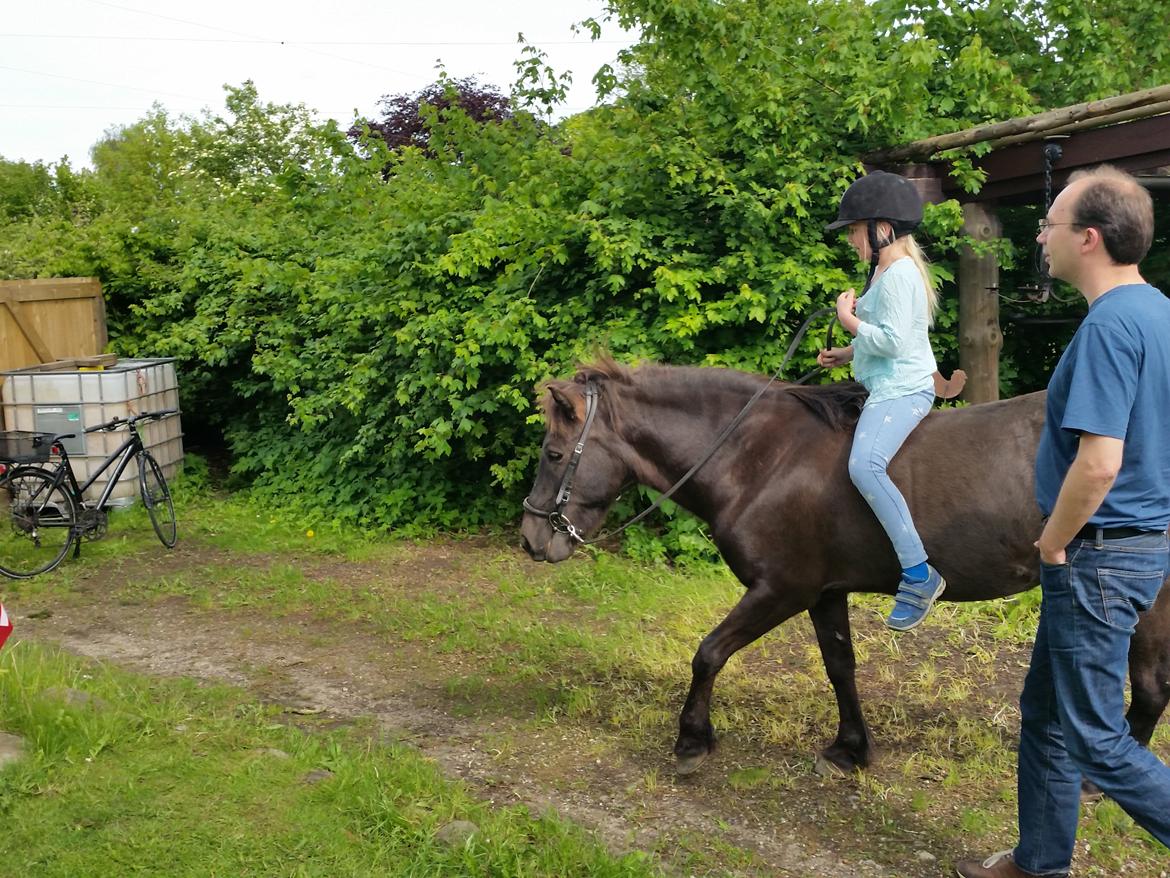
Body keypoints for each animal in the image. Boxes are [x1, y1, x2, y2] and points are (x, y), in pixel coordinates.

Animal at [519, 358, 1170, 777]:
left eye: (554, 452)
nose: (530, 538)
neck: (762, 458)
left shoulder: (780, 589)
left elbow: (708, 653)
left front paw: (691, 740)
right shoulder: (823, 593)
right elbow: (841, 668)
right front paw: (851, 749)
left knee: (1148, 690)